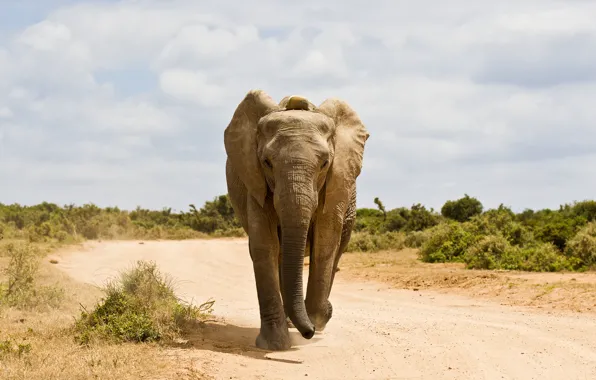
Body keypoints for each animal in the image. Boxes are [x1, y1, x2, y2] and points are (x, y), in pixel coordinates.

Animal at [224, 89, 370, 350]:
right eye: (267, 162)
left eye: (324, 163)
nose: (309, 333)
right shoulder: (255, 179)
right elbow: (264, 245)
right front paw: (274, 345)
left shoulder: (336, 183)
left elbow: (325, 242)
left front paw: (319, 317)